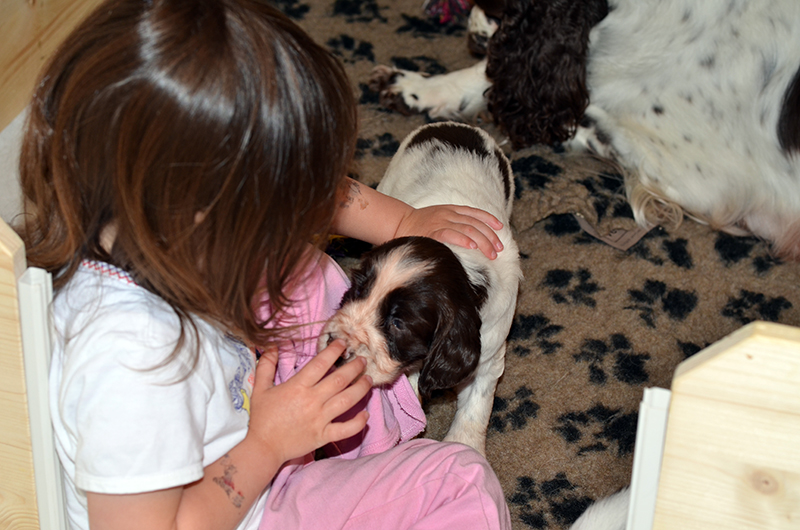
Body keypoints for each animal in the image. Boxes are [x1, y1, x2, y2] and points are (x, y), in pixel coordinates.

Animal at [322, 121, 520, 452]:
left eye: (399, 323)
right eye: (359, 291)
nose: (333, 349)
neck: (462, 261)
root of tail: (454, 124)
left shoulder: (490, 353)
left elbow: (476, 406)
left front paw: (465, 448)